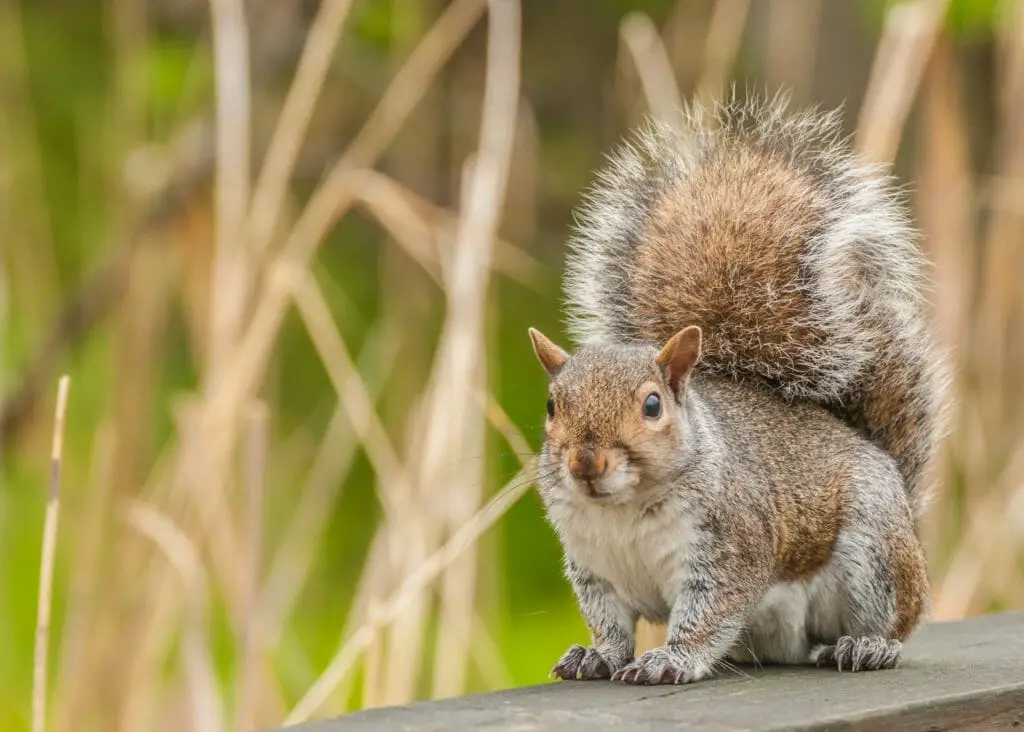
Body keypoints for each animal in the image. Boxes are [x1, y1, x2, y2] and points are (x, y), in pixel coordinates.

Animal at [527, 93, 951, 686]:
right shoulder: (594, 571)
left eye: (652, 405)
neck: (622, 510)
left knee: (895, 617)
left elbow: (708, 614)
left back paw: (868, 647)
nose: (585, 463)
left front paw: (671, 659)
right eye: (552, 405)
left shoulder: (731, 550)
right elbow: (609, 625)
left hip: (876, 551)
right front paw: (597, 655)